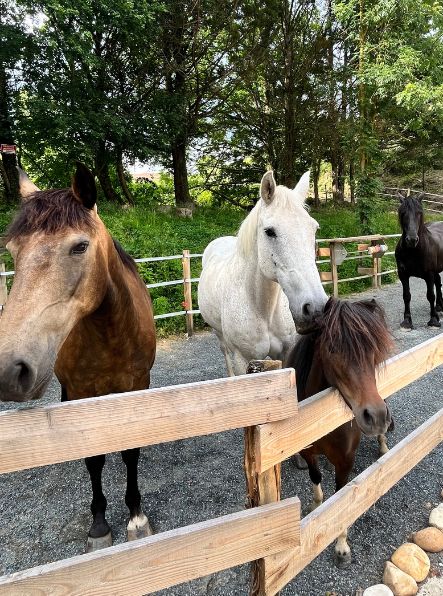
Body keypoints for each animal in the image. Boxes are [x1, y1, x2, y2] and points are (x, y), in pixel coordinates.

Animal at [0, 165, 156, 552]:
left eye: (80, 246)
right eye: (12, 250)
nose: (8, 370)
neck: (110, 336)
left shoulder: (136, 387)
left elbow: (130, 450)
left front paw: (136, 516)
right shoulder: (81, 393)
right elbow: (93, 457)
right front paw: (99, 524)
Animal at [199, 170, 328, 374]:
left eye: (314, 229)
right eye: (269, 231)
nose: (315, 307)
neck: (262, 309)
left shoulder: (285, 353)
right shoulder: (241, 359)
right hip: (219, 336)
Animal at [288, 298, 396, 568]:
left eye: (372, 350)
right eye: (333, 349)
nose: (375, 417)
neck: (319, 418)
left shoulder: (345, 461)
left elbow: (342, 497)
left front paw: (341, 546)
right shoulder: (308, 453)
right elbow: (316, 477)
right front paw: (316, 506)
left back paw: (383, 445)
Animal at [398, 193, 443, 328]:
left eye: (419, 212)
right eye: (403, 213)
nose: (412, 240)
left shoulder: (429, 274)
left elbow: (430, 295)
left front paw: (433, 320)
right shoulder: (403, 275)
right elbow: (406, 296)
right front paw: (407, 320)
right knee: (438, 282)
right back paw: (439, 306)